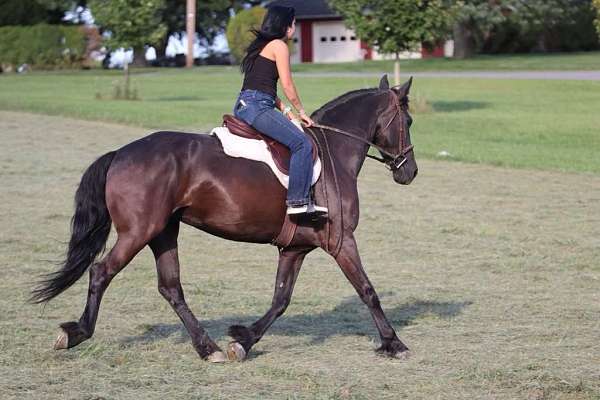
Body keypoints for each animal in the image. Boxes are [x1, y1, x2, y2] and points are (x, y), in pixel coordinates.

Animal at [31, 74, 418, 362]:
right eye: (409, 121)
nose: (410, 171)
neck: (333, 152)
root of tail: (121, 154)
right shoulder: (341, 241)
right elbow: (367, 290)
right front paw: (394, 343)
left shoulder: (295, 249)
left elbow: (280, 300)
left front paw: (243, 339)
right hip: (138, 232)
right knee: (101, 272)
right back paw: (77, 333)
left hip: (163, 232)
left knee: (170, 287)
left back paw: (208, 348)